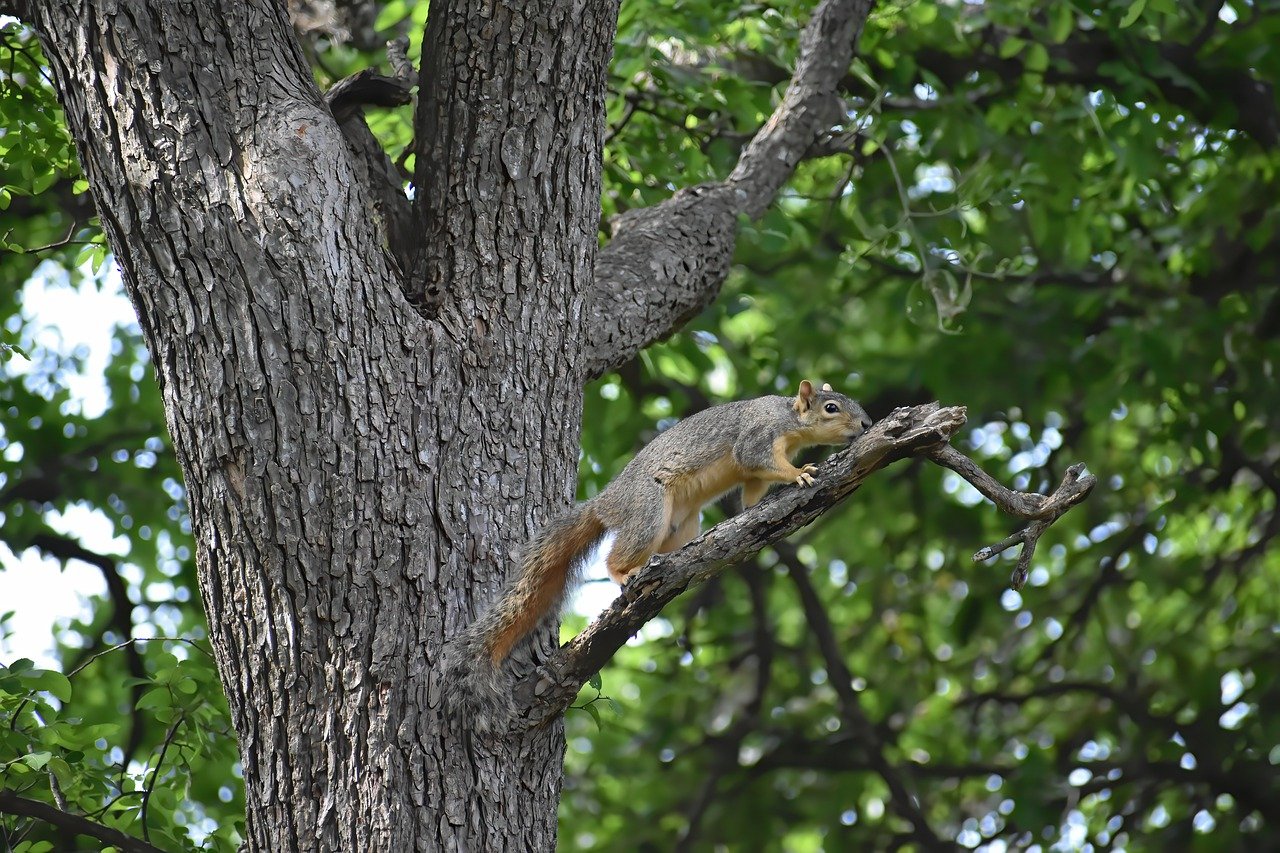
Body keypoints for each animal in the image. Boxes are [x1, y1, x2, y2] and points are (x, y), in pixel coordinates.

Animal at [445, 379, 875, 732]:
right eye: (831, 407)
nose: (867, 424)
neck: (789, 419)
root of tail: (605, 505)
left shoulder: (753, 474)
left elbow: (752, 490)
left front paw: (757, 508)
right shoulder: (758, 436)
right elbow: (755, 458)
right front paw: (798, 473)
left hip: (681, 526)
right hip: (647, 510)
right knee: (616, 557)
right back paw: (626, 575)